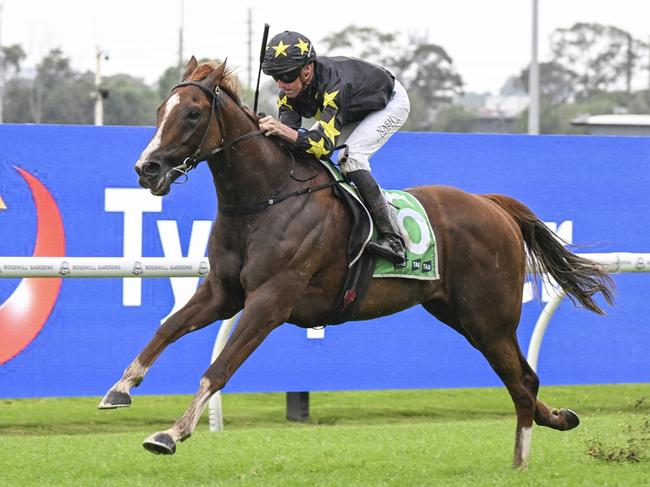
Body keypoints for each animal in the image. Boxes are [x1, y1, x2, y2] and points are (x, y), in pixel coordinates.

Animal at [97, 59, 612, 470]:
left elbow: (219, 368)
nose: (147, 168)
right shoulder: (224, 292)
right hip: (460, 314)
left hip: (489, 317)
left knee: (522, 382)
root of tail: (492, 205)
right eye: (159, 111)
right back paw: (559, 419)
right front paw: (119, 389)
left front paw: (170, 433)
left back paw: (522, 461)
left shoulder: (270, 301)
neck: (266, 196)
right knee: (524, 379)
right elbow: (167, 328)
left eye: (193, 113)